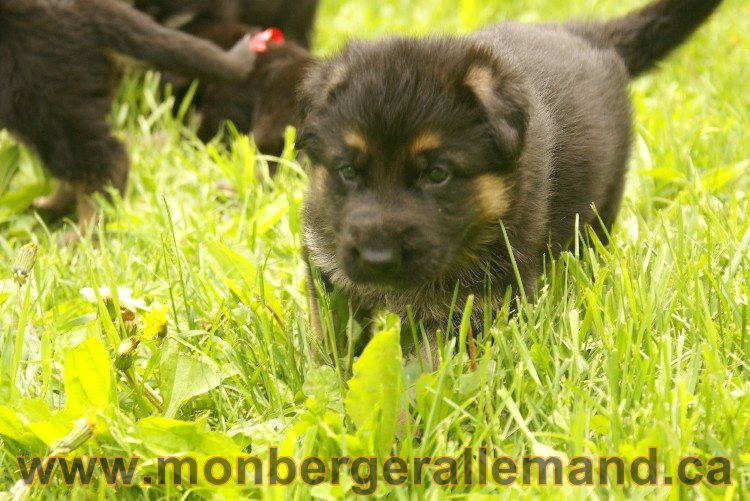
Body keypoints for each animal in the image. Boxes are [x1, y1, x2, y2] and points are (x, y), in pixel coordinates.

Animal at [300, 0, 728, 354]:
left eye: (437, 175)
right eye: (348, 171)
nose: (378, 259)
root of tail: (584, 34)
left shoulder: (479, 298)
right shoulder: (328, 266)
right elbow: (339, 338)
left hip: (601, 209)